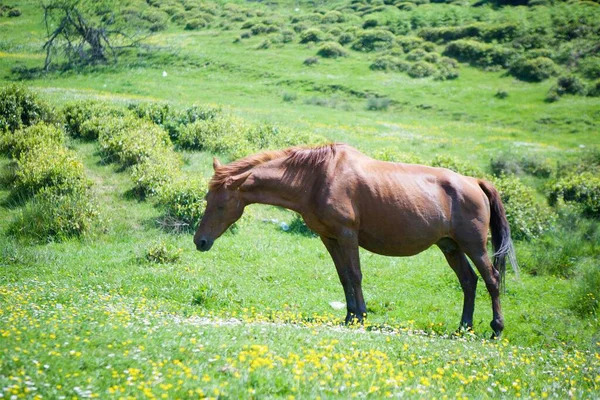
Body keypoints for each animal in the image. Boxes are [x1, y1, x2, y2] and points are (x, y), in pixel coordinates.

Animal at [195, 143, 516, 338]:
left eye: (221, 205)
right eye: (208, 199)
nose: (200, 242)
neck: (317, 177)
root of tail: (475, 182)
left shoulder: (347, 235)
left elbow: (356, 275)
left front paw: (360, 315)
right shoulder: (329, 238)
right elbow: (344, 277)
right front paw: (349, 316)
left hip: (474, 246)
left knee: (491, 279)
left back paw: (496, 328)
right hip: (450, 246)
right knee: (469, 281)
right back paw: (464, 327)